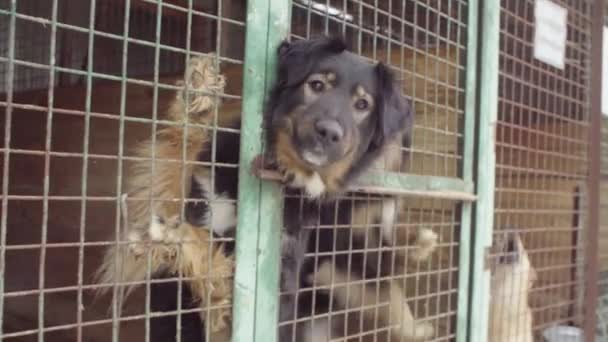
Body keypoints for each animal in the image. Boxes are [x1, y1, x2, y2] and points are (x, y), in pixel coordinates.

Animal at [96, 36, 436, 340]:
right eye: (316, 85)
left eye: (363, 105)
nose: (329, 132)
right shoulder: (191, 190)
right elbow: (180, 158)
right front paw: (198, 99)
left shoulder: (284, 271)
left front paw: (174, 238)